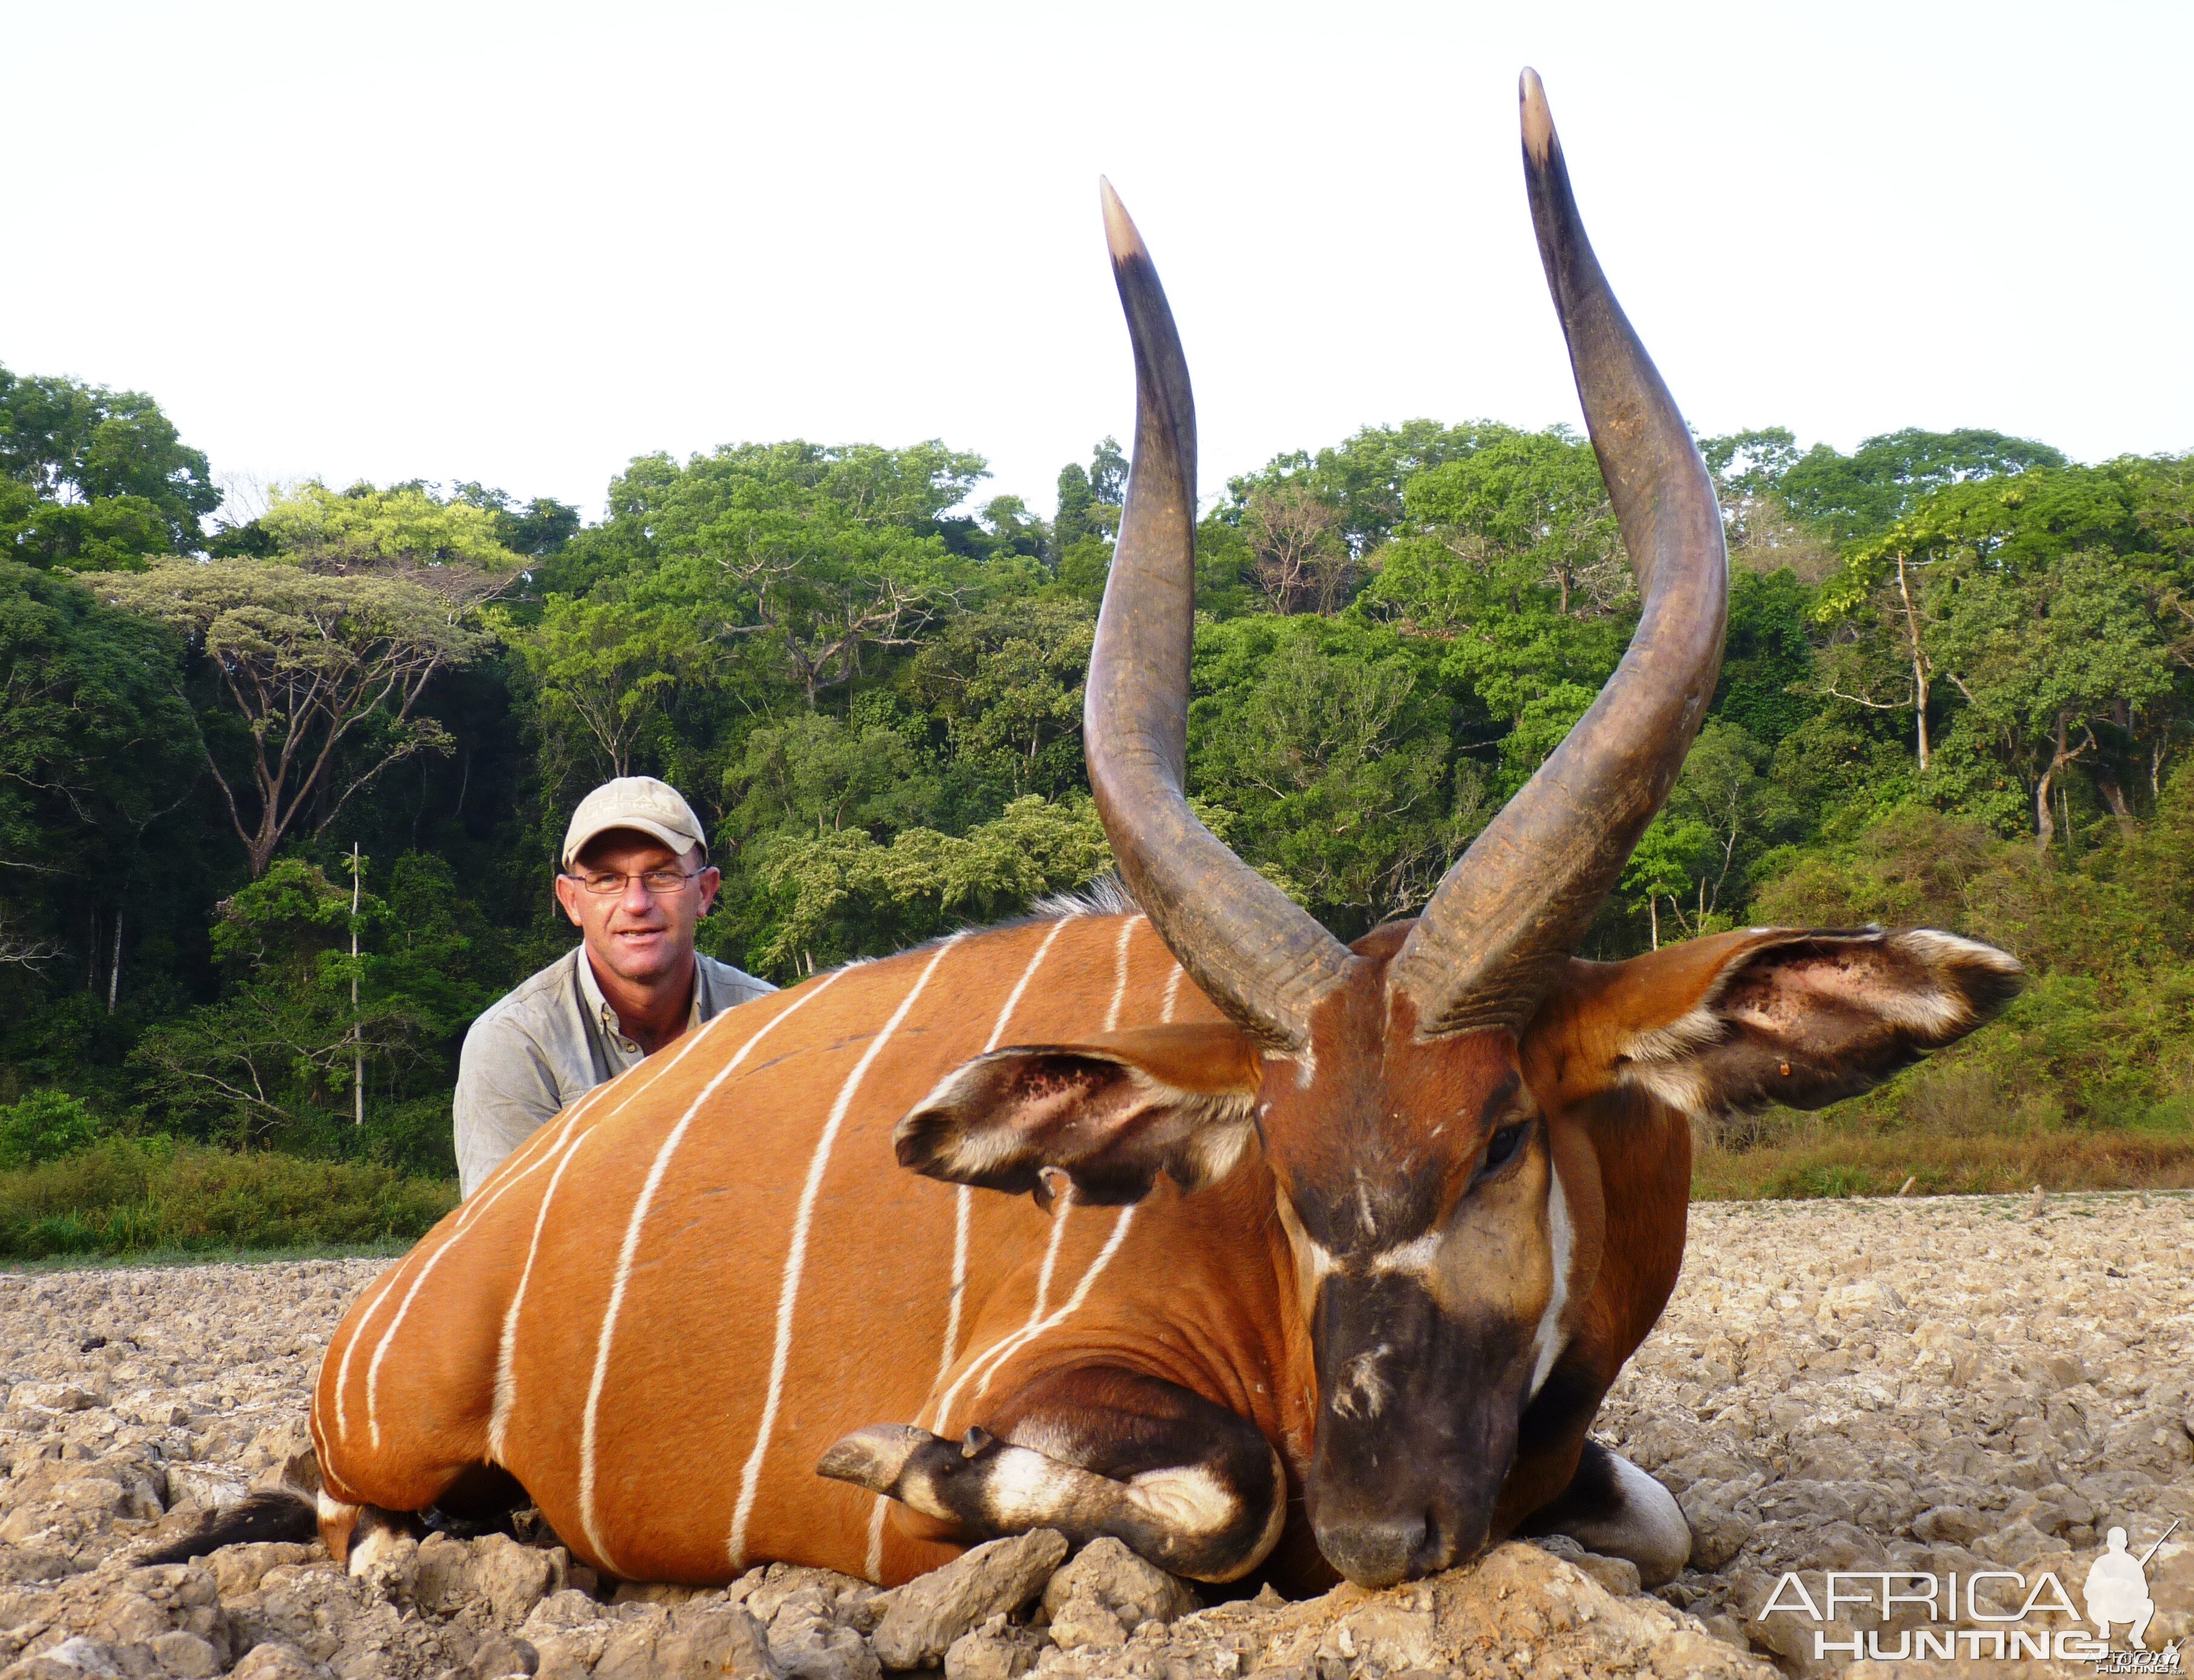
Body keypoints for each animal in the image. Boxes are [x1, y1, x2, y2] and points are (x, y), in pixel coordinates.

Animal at [171, 79, 2018, 1596]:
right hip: (384, 1442)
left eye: (1500, 1136)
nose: (1378, 1529)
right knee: (345, 1519)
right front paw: (898, 1458)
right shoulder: (1092, 1388)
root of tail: (416, 1280)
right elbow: (1223, 1488)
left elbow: (1656, 1513)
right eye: (1277, 1166)